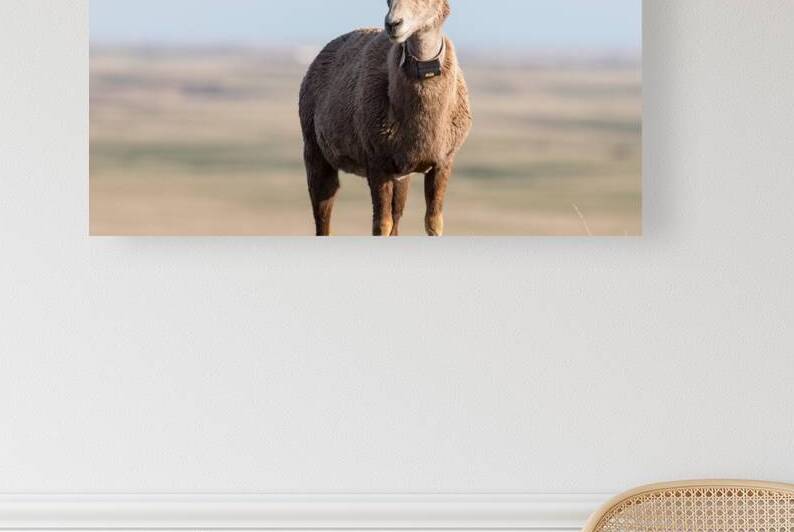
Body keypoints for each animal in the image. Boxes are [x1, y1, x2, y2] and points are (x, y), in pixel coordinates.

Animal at [299, 0, 472, 236]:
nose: (393, 24)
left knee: (396, 218)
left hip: (401, 176)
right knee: (323, 217)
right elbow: (381, 225)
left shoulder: (442, 163)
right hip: (316, 155)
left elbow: (433, 223)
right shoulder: (377, 164)